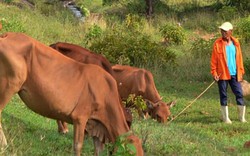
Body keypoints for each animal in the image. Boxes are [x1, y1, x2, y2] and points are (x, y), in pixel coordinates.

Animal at [0, 32, 143, 155]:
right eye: (132, 153)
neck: (106, 94)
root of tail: (7, 35)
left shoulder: (97, 127)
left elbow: (97, 150)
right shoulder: (80, 118)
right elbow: (78, 145)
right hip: (9, 86)